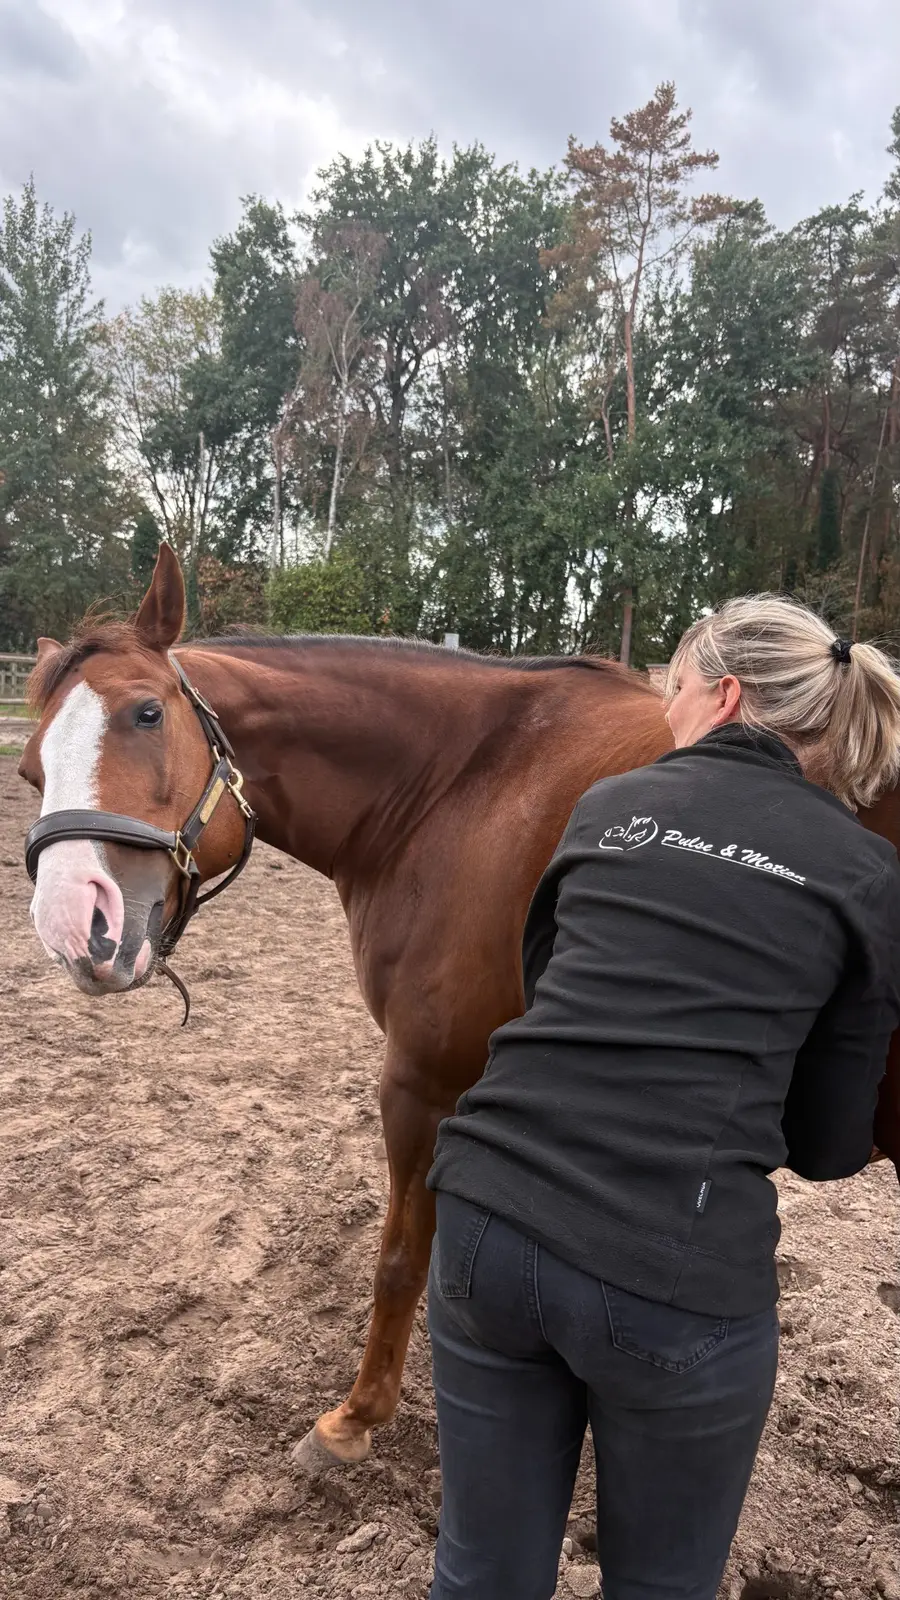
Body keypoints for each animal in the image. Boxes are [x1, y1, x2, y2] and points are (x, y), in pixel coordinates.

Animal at [18, 543, 900, 1476]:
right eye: (30, 769)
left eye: (148, 713)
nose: (74, 922)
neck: (461, 782)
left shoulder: (424, 1081)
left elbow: (403, 1257)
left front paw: (355, 1419)